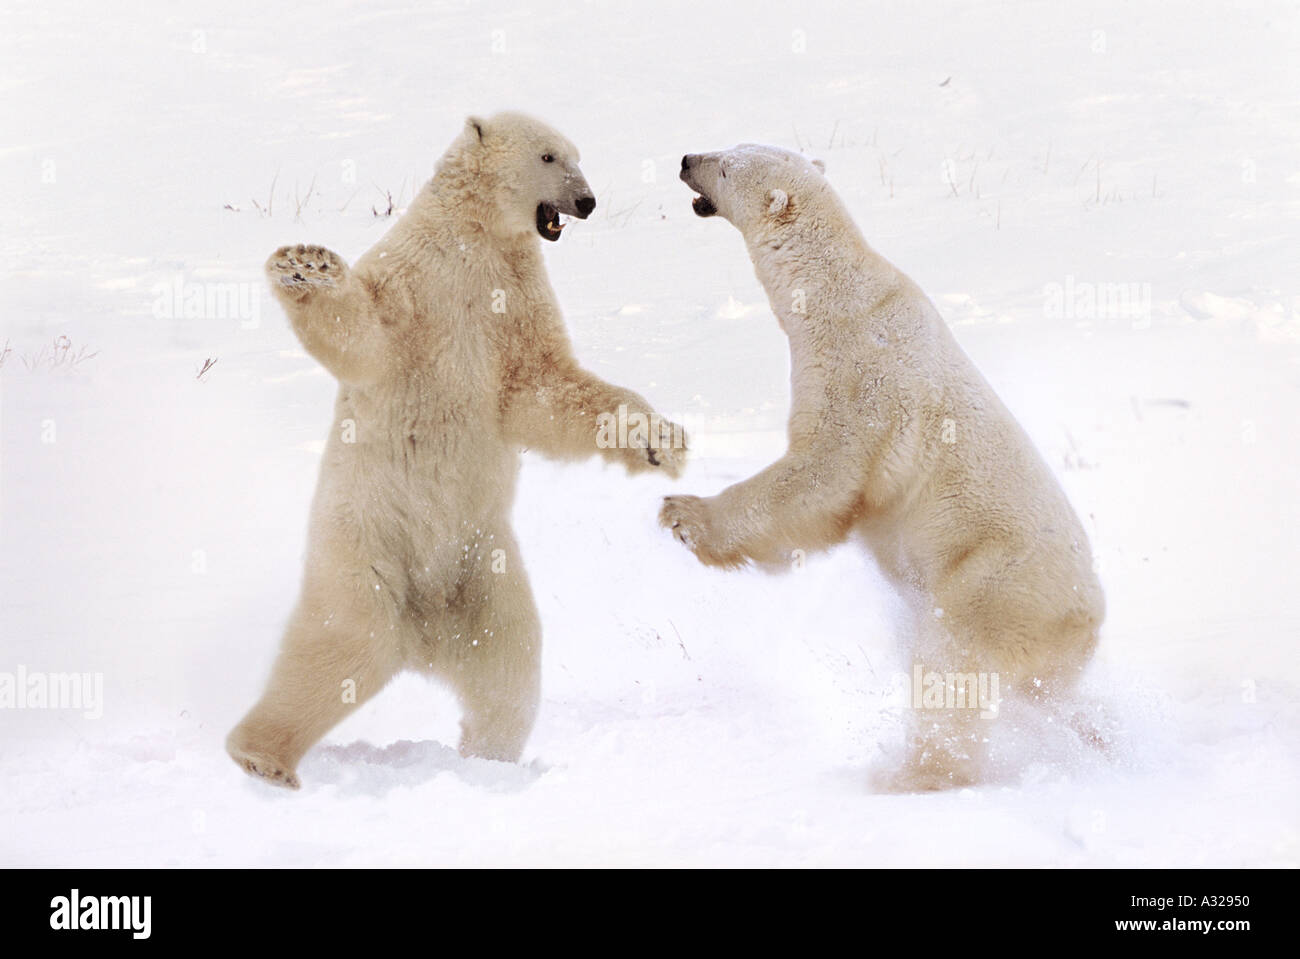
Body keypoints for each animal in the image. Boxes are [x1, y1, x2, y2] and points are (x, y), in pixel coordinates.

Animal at [227, 110, 686, 784]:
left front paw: (660, 440)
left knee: (508, 662)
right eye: (550, 156)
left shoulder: (516, 293)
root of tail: (424, 637)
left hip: (482, 567)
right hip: (365, 542)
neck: (475, 236)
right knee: (348, 642)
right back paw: (262, 758)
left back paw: (489, 760)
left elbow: (541, 387)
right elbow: (366, 339)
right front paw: (305, 264)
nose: (587, 202)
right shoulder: (415, 277)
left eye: (577, 155)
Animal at [665, 145, 1102, 790]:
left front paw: (683, 514)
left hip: (993, 583)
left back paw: (913, 775)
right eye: (727, 148)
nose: (686, 158)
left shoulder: (861, 379)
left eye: (727, 166)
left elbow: (821, 475)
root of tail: (1087, 619)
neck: (840, 296)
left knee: (953, 665)